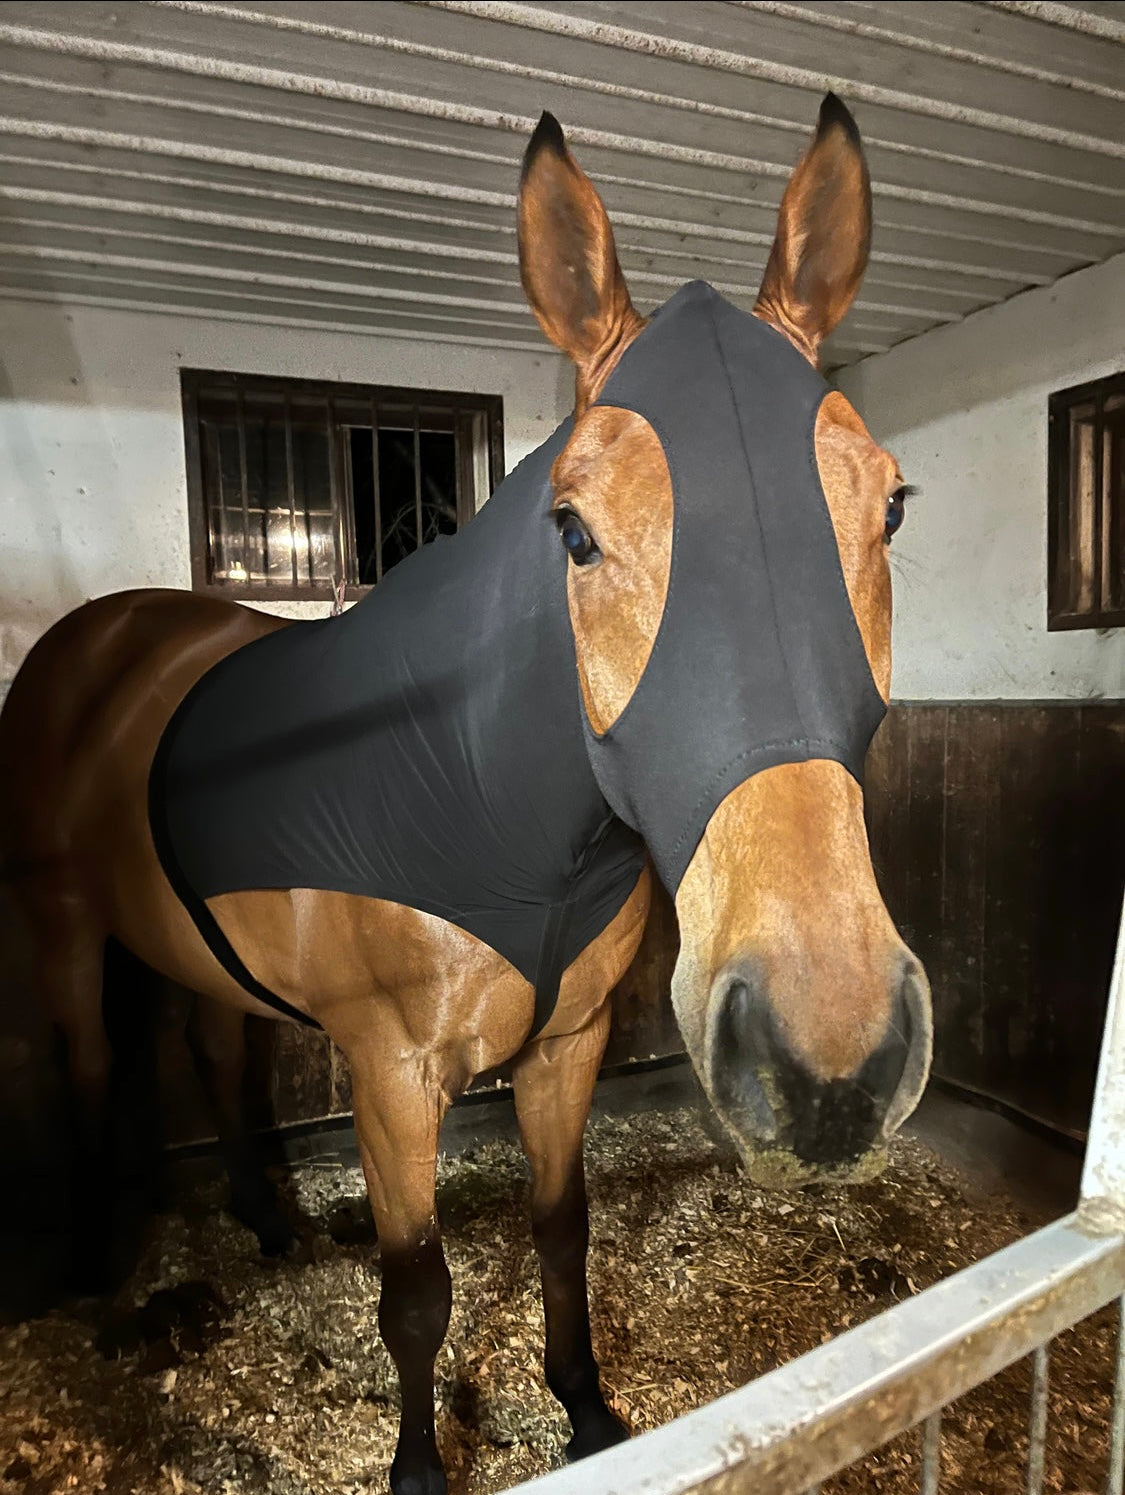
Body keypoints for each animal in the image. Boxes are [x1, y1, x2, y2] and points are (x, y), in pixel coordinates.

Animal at [0, 93, 931, 1495]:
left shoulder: (567, 1046)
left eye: (892, 507)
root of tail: (101, 635)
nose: (832, 1060)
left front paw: (589, 1413)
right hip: (59, 925)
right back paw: (104, 1273)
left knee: (210, 1038)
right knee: (94, 1064)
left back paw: (266, 1221)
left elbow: (560, 1230)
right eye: (574, 530)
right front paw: (418, 1466)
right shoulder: (391, 1076)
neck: (495, 803)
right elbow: (417, 1292)